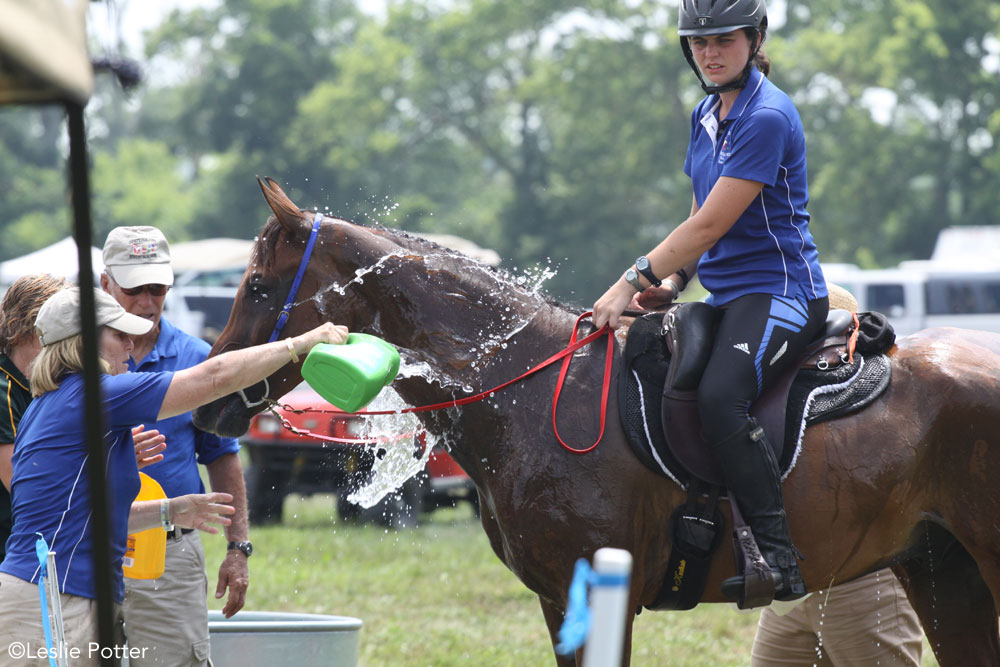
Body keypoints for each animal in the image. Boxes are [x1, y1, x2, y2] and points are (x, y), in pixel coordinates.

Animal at [193, 179, 1000, 667]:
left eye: (258, 285)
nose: (207, 406)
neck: (524, 389)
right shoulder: (560, 603)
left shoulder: (604, 593)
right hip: (943, 574)